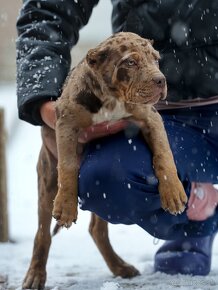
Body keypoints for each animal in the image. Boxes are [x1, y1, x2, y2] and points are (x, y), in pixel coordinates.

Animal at [22, 31, 187, 288]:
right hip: (46, 179)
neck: (113, 98)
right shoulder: (66, 123)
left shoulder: (151, 117)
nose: (161, 80)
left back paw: (120, 267)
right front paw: (66, 206)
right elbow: (68, 166)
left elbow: (164, 153)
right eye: (131, 62)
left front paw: (173, 192)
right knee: (42, 233)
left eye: (156, 59)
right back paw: (35, 275)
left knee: (96, 228)